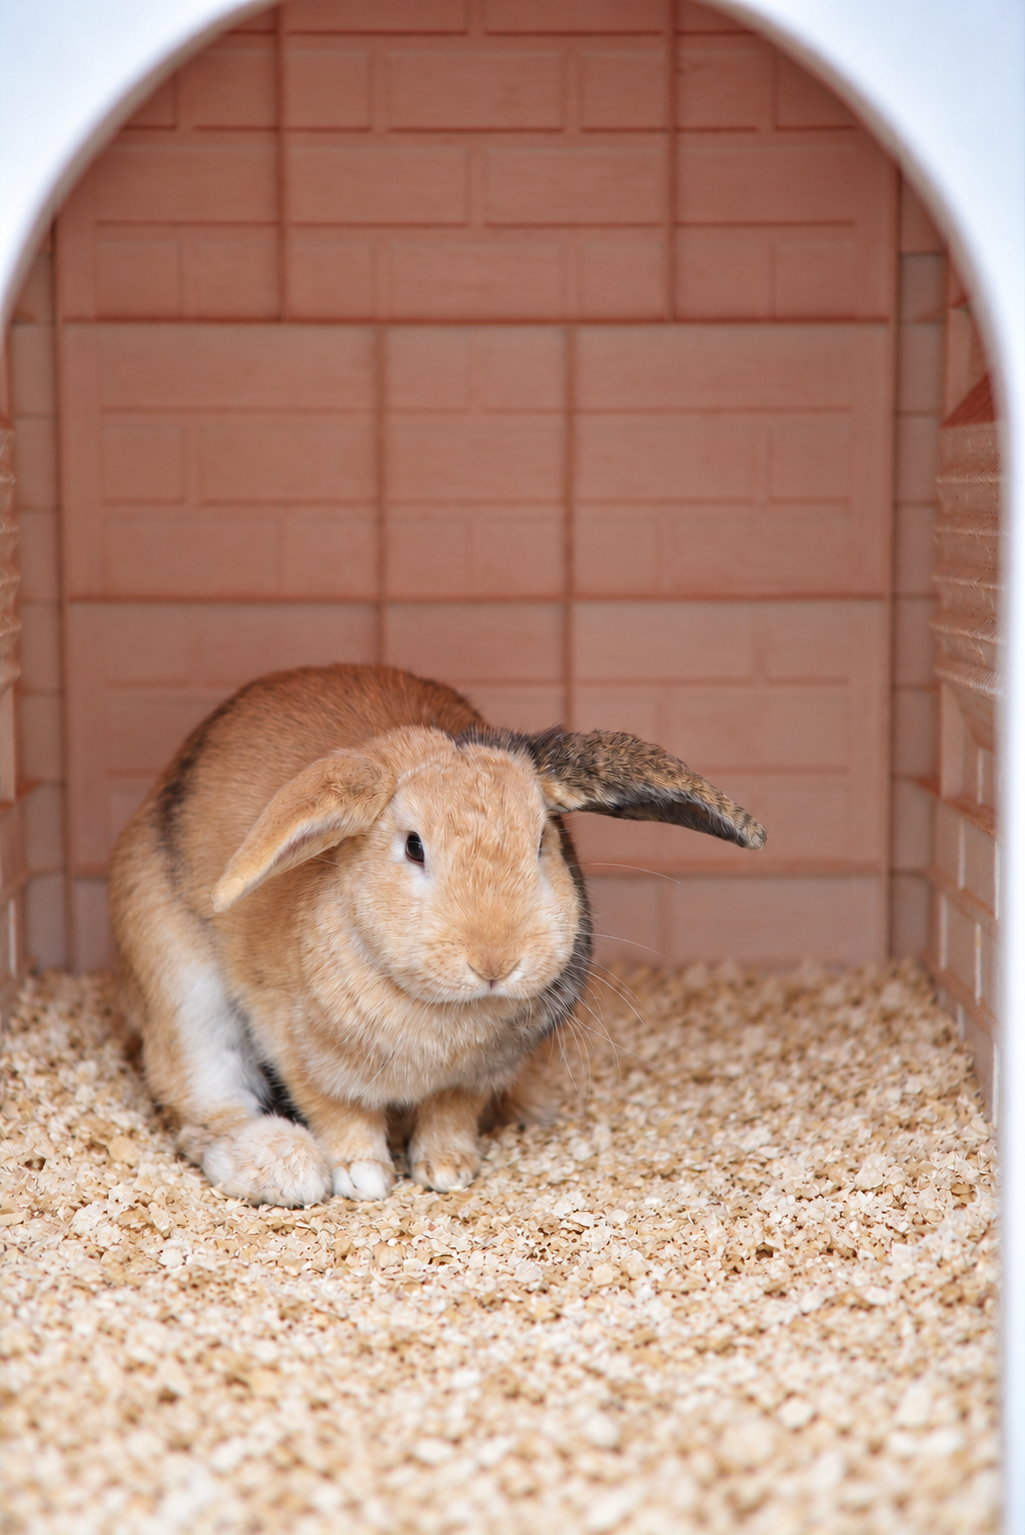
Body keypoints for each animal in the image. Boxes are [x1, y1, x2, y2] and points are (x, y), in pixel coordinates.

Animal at [109, 664, 765, 1208]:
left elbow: (450, 1113)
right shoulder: (299, 1052)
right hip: (182, 989)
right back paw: (283, 1167)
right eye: (414, 847)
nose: (496, 962)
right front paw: (365, 1178)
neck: (439, 1012)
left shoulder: (474, 1078)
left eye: (543, 843)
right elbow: (342, 1115)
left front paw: (447, 1170)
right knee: (202, 1106)